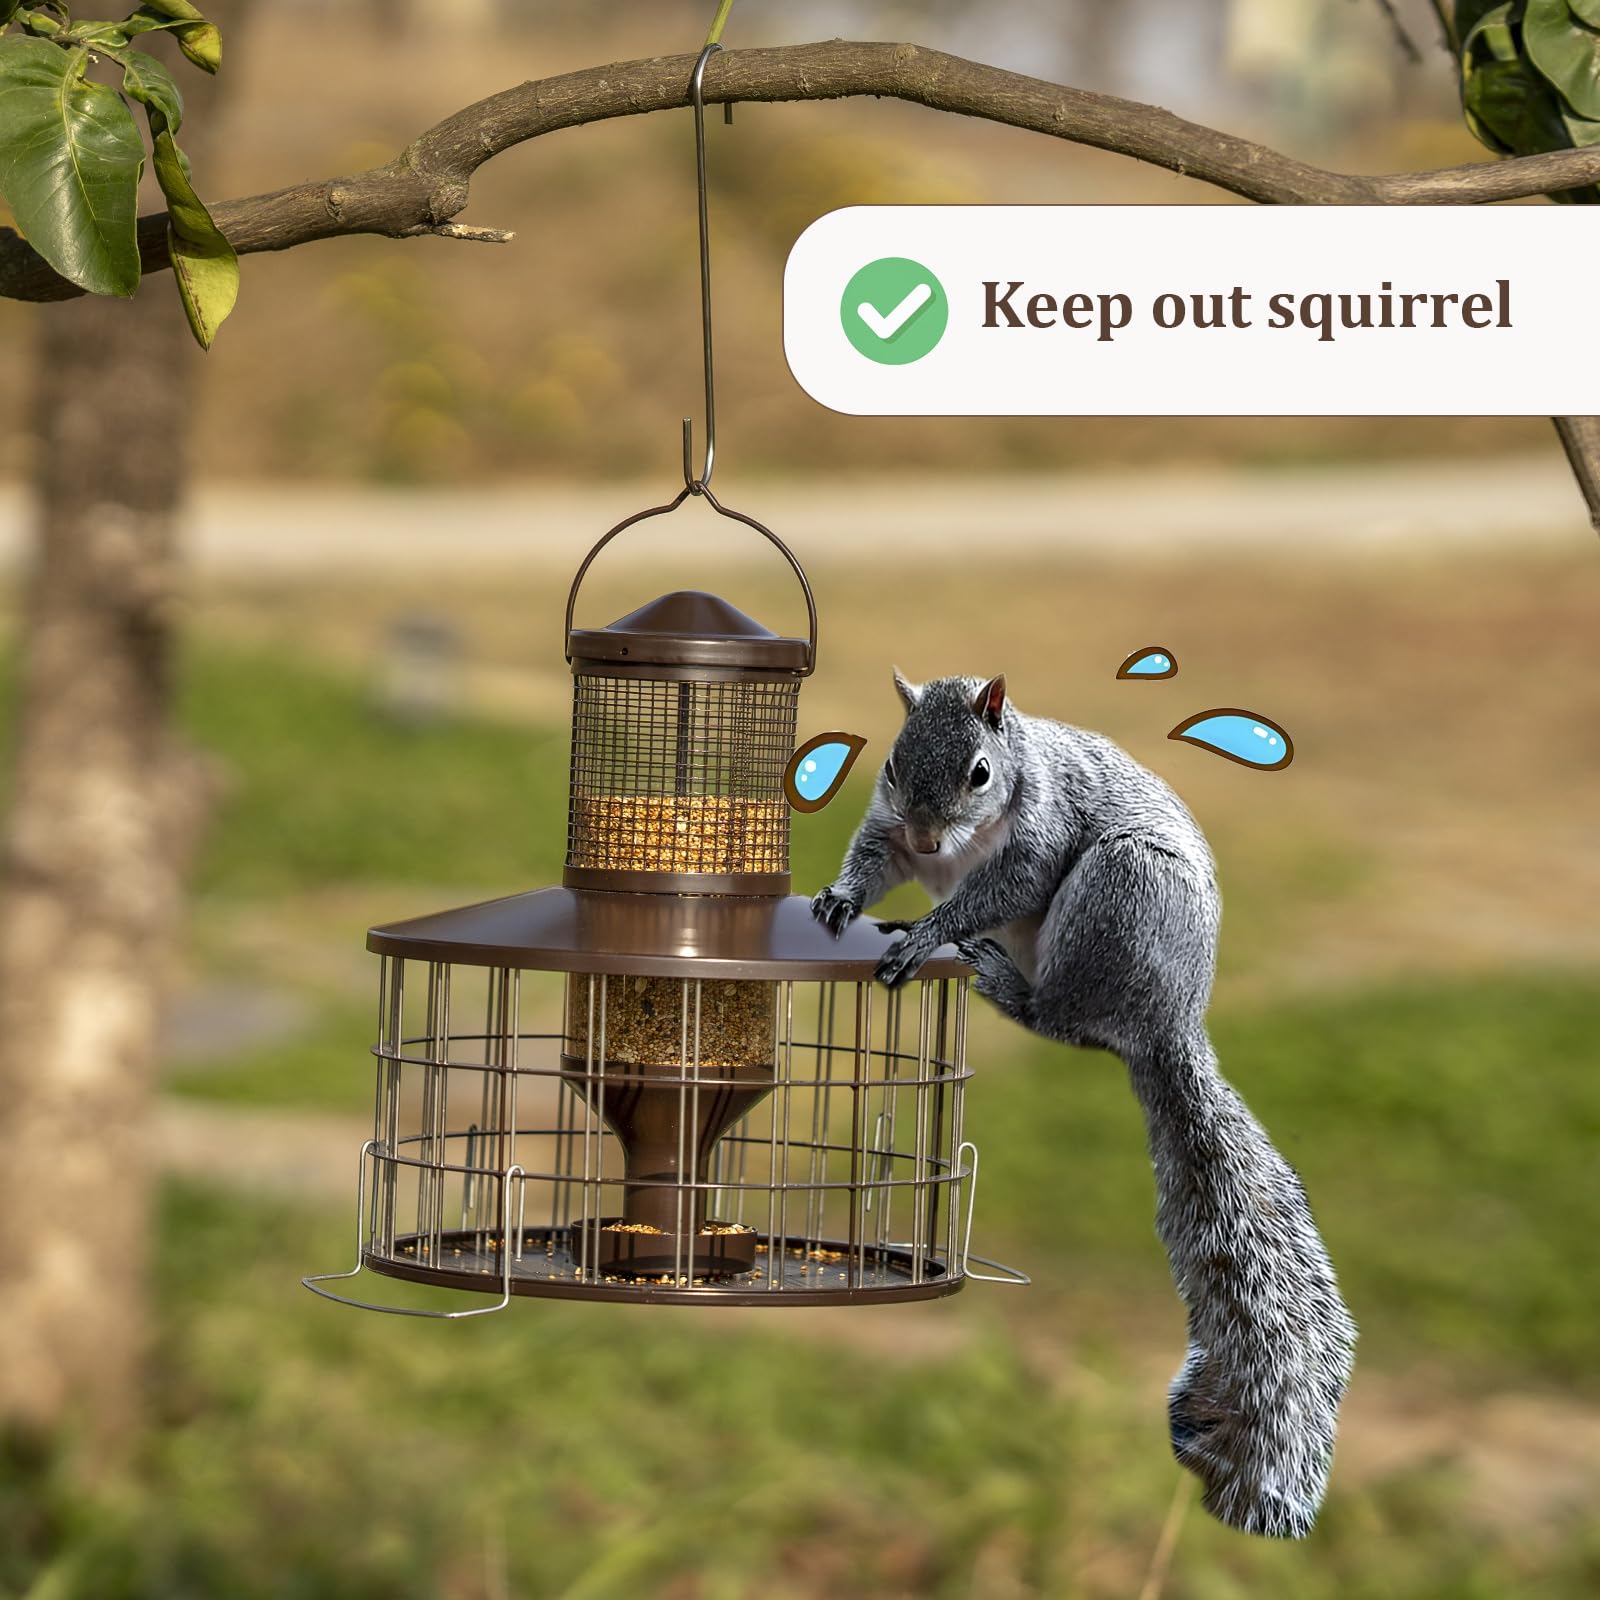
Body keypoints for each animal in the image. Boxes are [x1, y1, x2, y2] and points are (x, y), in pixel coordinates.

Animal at [812, 670, 1357, 1539]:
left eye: (980, 774)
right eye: (892, 763)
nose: (929, 844)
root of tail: (1166, 1022)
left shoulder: (1044, 830)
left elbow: (1003, 886)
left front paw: (924, 932)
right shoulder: (889, 825)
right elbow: (872, 854)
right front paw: (839, 895)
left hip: (1117, 897)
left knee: (1060, 1019)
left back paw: (998, 979)